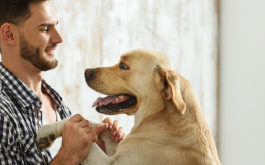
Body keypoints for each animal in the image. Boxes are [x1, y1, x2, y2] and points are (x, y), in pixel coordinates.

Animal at [36, 48, 220, 164]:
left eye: (123, 66)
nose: (86, 71)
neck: (158, 116)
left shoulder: (110, 162)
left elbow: (80, 125)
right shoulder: (119, 150)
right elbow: (94, 123)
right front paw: (46, 133)